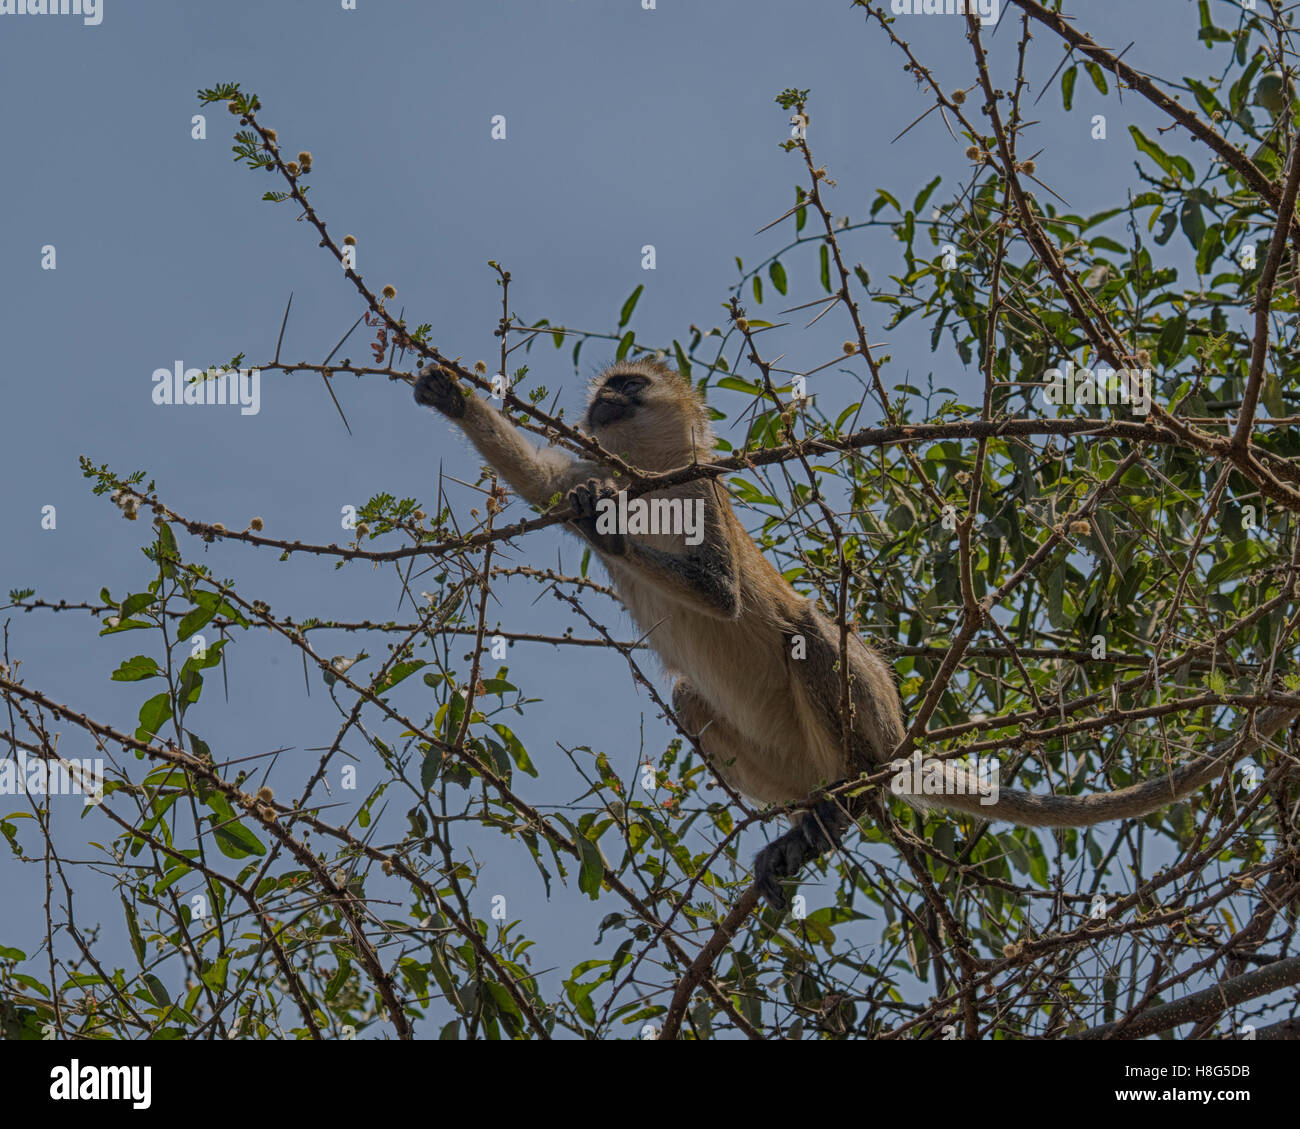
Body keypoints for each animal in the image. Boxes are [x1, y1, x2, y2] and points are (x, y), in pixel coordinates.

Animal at [414, 358, 1296, 910]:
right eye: (605, 389)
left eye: (629, 387)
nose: (602, 402)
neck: (647, 478)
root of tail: (890, 745)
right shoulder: (588, 465)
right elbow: (541, 482)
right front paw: (452, 398)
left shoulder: (700, 496)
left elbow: (724, 594)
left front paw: (608, 525)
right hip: (791, 756)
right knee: (693, 699)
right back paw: (806, 823)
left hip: (863, 717)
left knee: (808, 627)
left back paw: (845, 805)